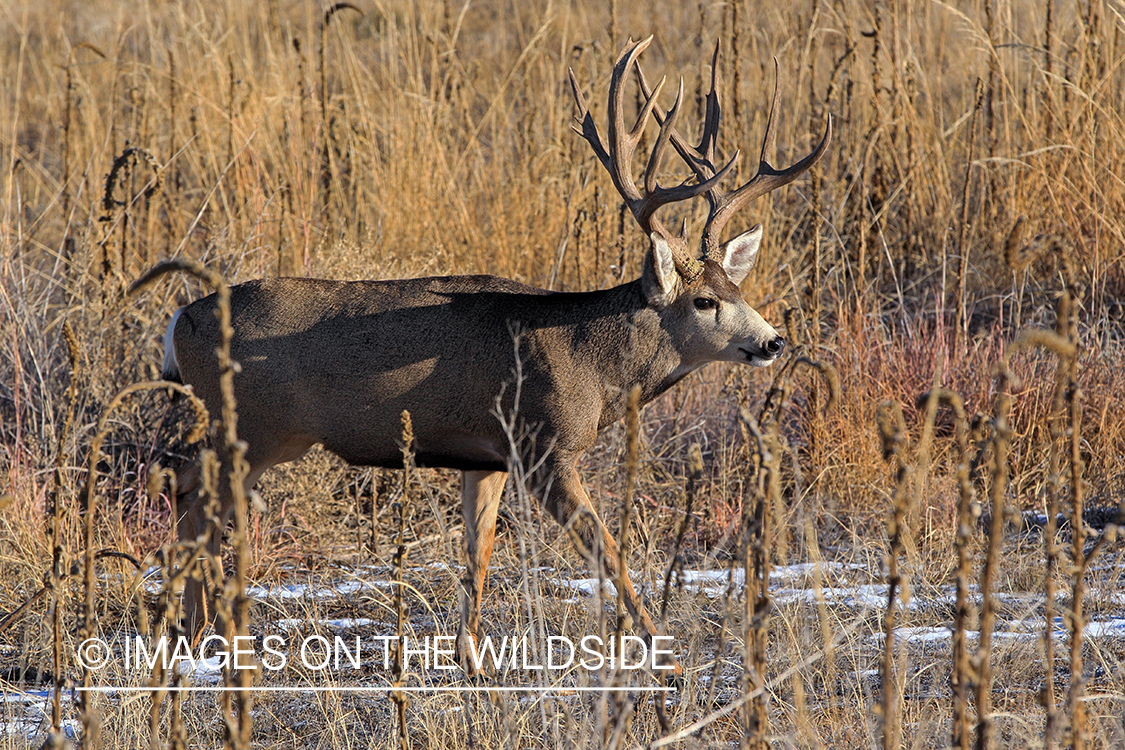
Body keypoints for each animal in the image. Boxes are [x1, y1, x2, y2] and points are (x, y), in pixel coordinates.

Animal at [160, 36, 828, 679]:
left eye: (739, 288)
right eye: (705, 300)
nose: (773, 342)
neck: (592, 363)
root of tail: (180, 320)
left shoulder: (488, 455)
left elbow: (476, 551)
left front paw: (472, 659)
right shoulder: (545, 447)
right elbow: (607, 549)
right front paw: (667, 659)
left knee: (187, 490)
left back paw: (194, 630)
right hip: (250, 427)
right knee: (190, 490)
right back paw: (209, 633)